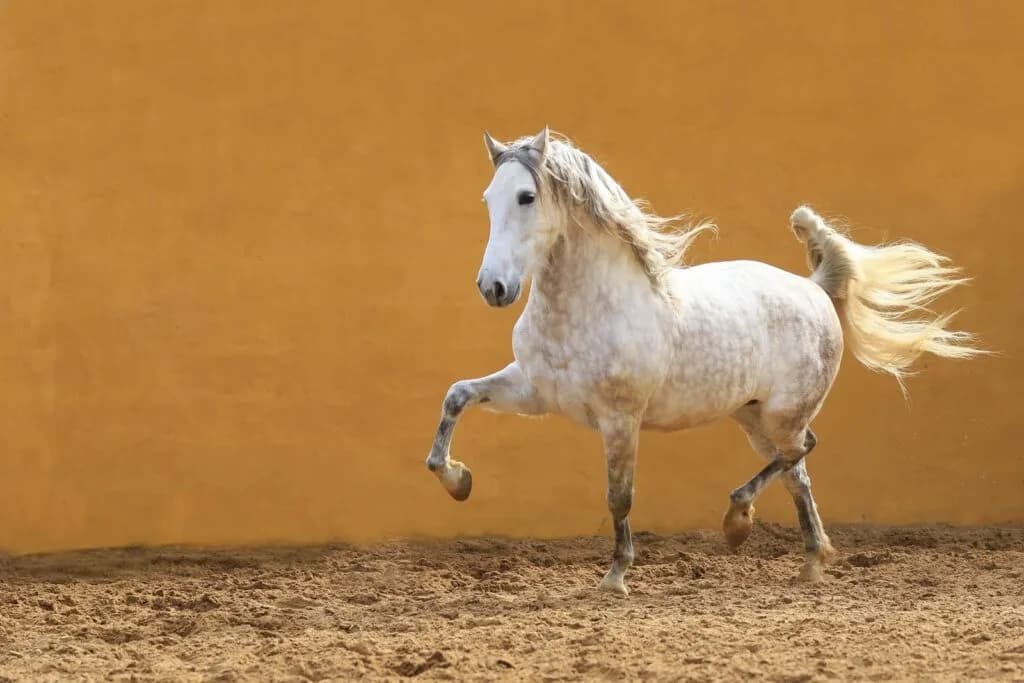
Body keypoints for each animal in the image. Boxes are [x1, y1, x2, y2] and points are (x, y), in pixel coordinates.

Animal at [424, 127, 985, 595]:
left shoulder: (620, 418)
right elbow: (456, 395)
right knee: (797, 471)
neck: (589, 307)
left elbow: (619, 496)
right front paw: (457, 480)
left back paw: (739, 522)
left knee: (801, 451)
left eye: (527, 196)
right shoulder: (534, 392)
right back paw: (810, 562)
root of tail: (814, 288)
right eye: (488, 198)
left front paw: (615, 578)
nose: (494, 288)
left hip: (782, 412)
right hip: (753, 416)